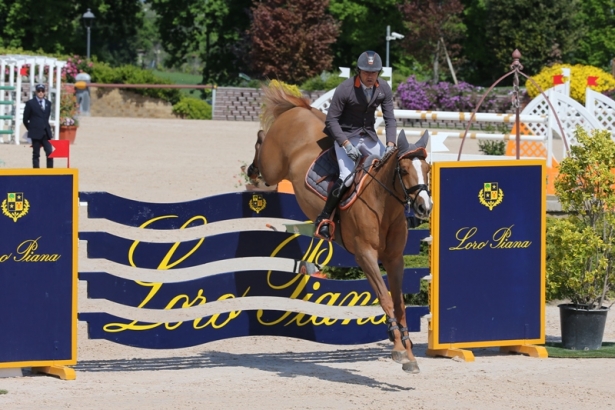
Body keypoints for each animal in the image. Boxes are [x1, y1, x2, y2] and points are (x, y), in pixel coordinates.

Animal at [249, 85, 434, 374]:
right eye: (403, 170)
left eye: (427, 168)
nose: (424, 207)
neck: (383, 207)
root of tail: (299, 110)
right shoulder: (366, 256)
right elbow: (385, 299)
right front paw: (397, 349)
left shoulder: (395, 259)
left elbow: (400, 302)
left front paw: (409, 354)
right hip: (272, 168)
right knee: (261, 150)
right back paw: (252, 171)